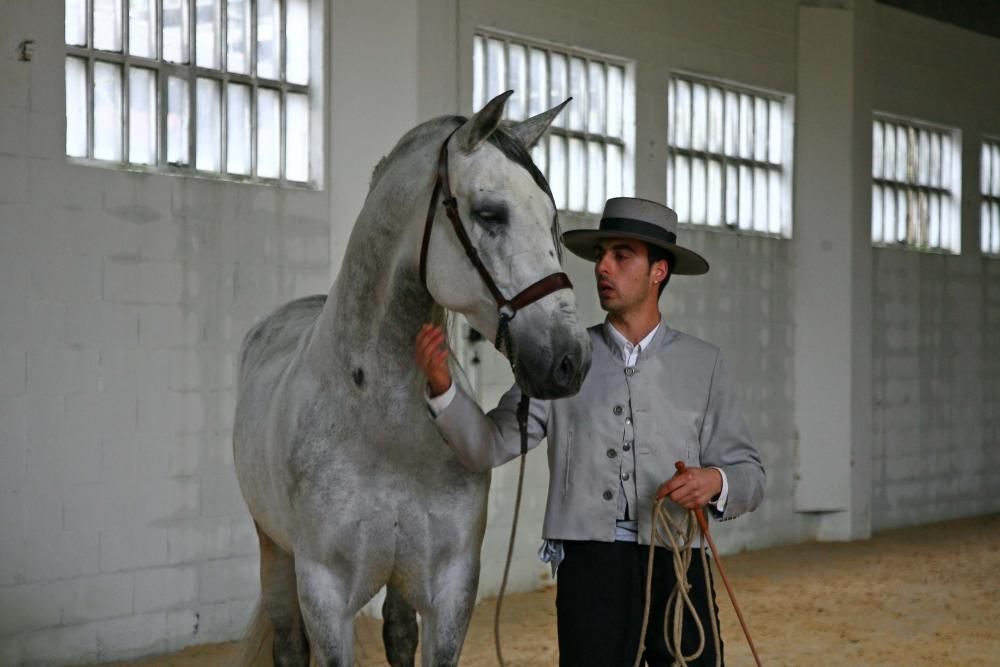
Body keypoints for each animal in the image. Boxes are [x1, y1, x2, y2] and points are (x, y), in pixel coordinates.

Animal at [232, 94, 592, 667]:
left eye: (553, 221)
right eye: (489, 214)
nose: (569, 360)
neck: (384, 425)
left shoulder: (450, 588)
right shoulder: (325, 596)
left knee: (398, 634)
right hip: (275, 554)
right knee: (288, 646)